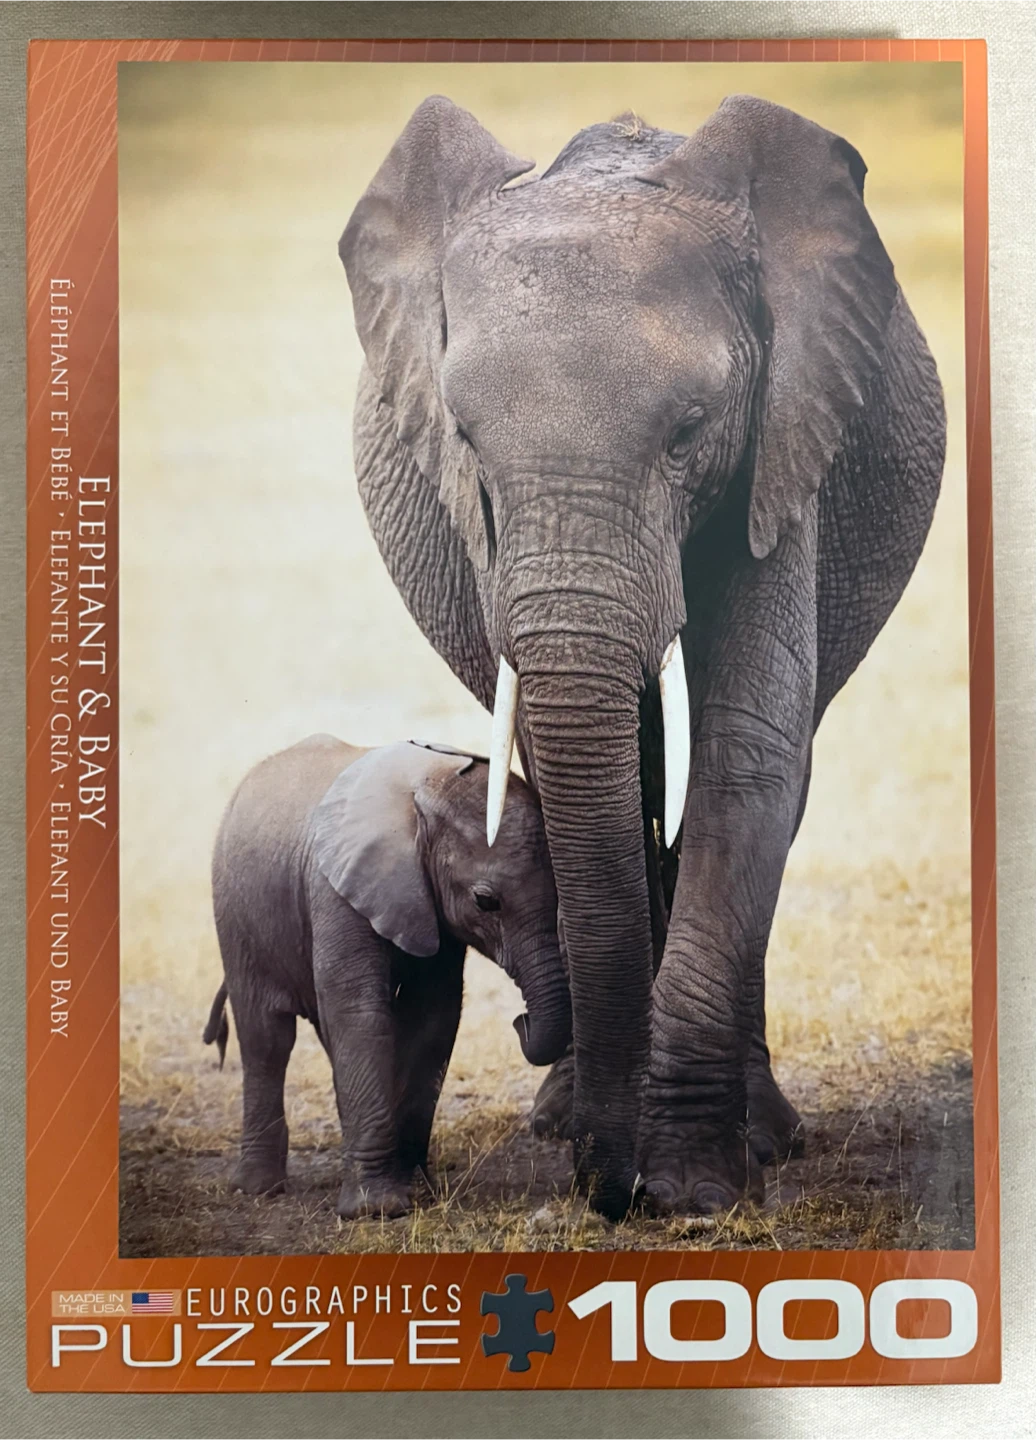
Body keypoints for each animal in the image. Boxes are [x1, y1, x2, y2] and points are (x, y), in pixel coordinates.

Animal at [204, 735, 571, 1218]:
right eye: (485, 901)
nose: (520, 1021)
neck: (426, 790)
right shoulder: (336, 891)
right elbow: (361, 1014)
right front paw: (376, 1210)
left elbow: (433, 1017)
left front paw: (416, 1189)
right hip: (235, 916)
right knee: (267, 1037)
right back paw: (258, 1188)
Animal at [338, 94, 946, 1219]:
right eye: (463, 438)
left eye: (689, 431)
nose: (603, 1190)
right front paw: (628, 1156)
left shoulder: (782, 443)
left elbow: (747, 752)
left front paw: (697, 1189)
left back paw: (763, 1135)